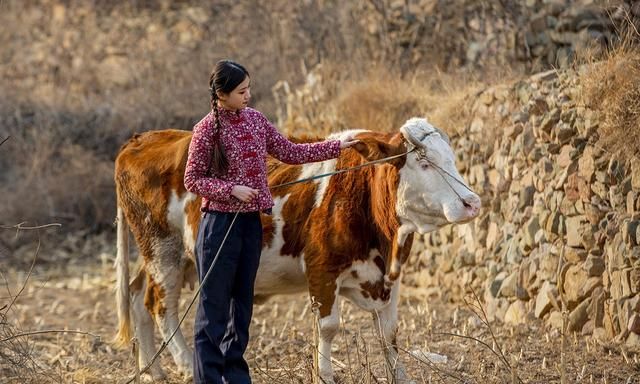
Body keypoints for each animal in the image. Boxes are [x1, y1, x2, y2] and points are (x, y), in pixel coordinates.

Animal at [114, 118, 480, 382]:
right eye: (424, 162)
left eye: (452, 159)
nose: (472, 202)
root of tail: (141, 140)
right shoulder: (322, 269)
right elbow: (329, 327)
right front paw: (326, 376)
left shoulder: (390, 277)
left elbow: (389, 334)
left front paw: (400, 377)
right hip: (164, 252)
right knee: (162, 307)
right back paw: (187, 366)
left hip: (165, 256)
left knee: (139, 296)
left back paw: (152, 370)